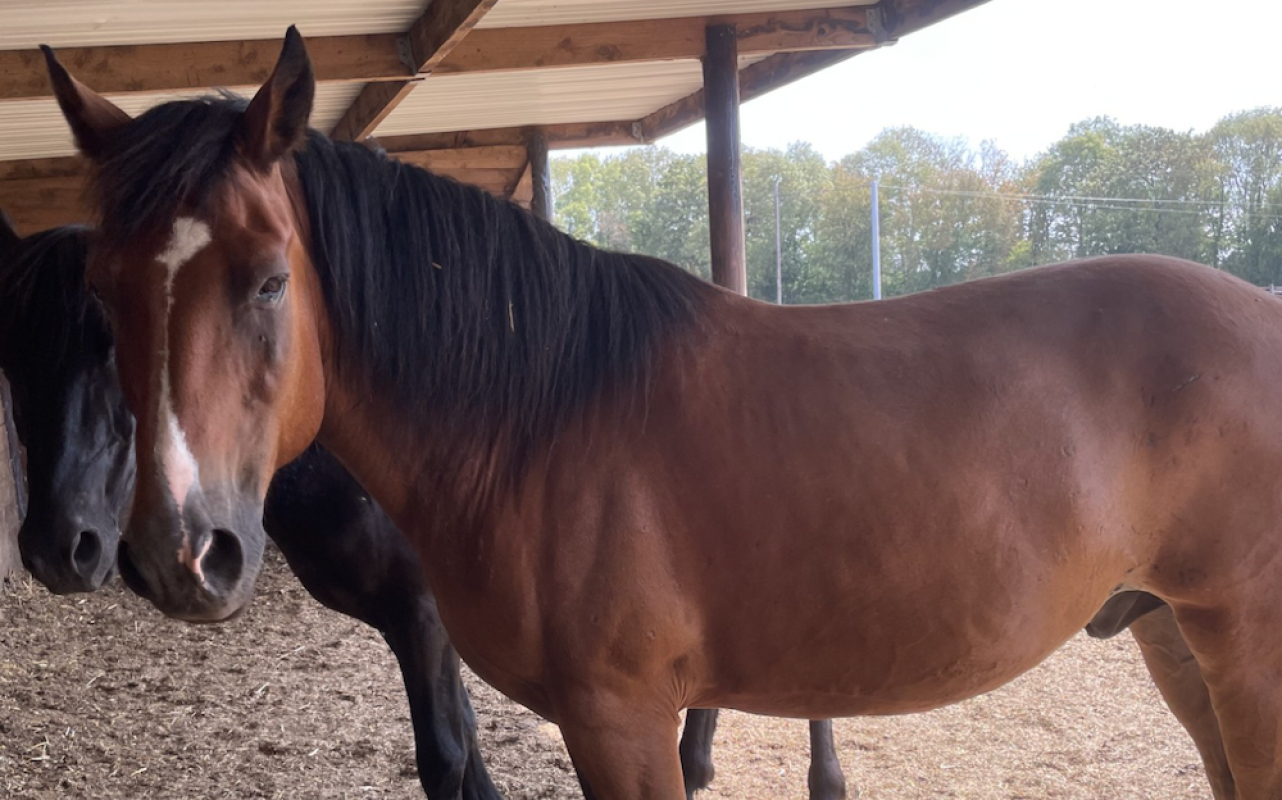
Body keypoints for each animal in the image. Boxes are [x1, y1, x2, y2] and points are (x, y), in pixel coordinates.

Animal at [0, 212, 851, 800]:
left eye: (121, 341)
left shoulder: (423, 616)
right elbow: (463, 745)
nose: (59, 545)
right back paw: (694, 759)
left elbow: (445, 756)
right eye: (13, 358)